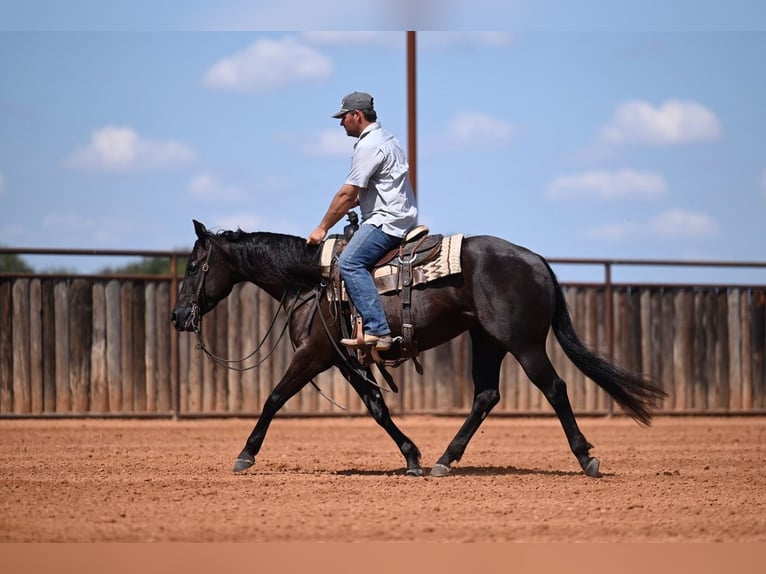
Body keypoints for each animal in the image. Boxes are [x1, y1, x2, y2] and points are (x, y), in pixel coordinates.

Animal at [171, 219, 666, 477]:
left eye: (195, 265)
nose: (177, 316)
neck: (311, 280)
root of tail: (537, 261)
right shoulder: (344, 358)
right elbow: (376, 406)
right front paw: (411, 456)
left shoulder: (313, 354)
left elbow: (274, 397)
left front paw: (245, 454)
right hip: (486, 341)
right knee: (486, 395)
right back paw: (445, 460)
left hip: (523, 344)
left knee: (555, 388)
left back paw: (586, 458)